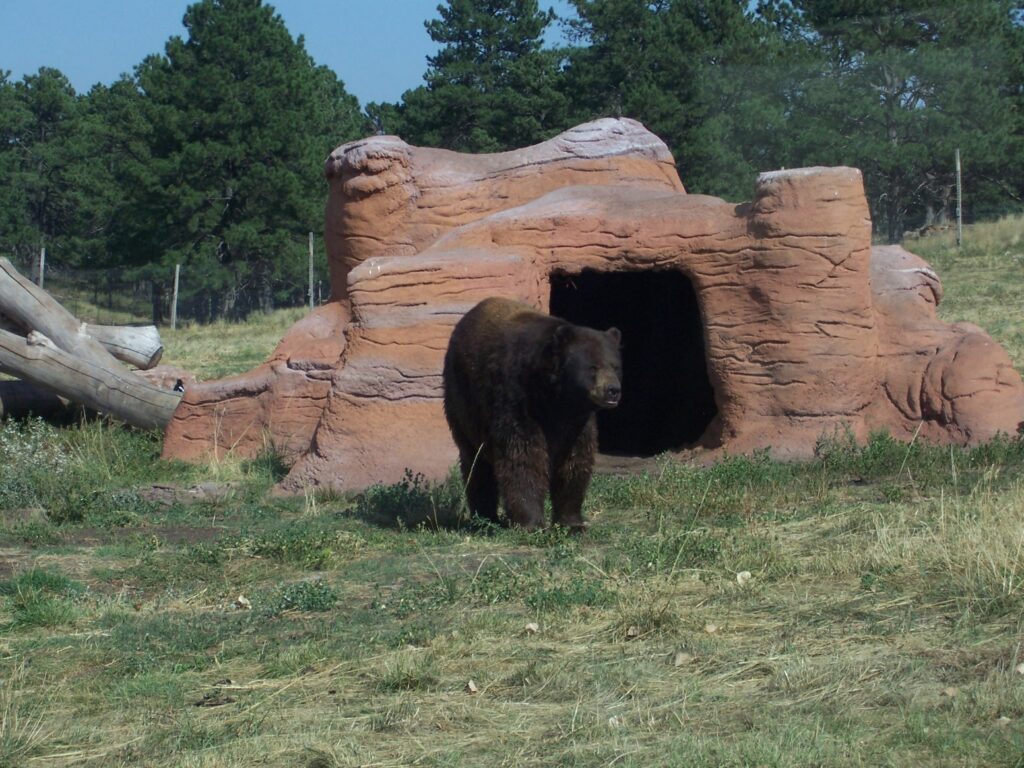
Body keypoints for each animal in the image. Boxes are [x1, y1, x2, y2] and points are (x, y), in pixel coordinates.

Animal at [443, 297, 622, 532]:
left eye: (616, 366)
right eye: (593, 367)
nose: (613, 390)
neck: (555, 396)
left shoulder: (577, 420)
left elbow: (575, 460)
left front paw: (572, 523)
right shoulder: (518, 397)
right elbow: (523, 456)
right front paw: (532, 522)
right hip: (464, 404)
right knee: (477, 463)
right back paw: (486, 517)